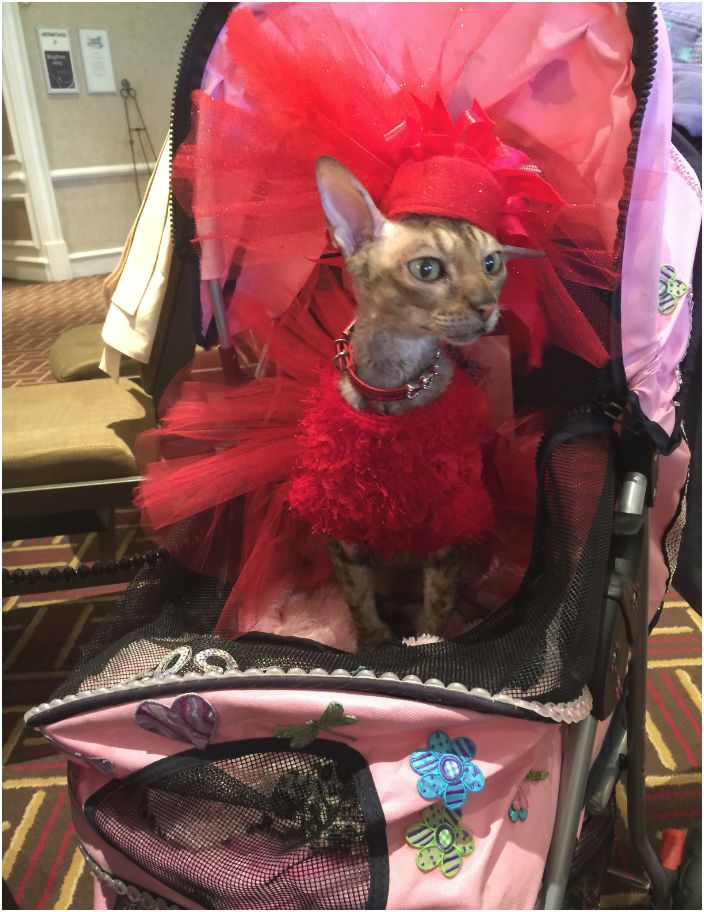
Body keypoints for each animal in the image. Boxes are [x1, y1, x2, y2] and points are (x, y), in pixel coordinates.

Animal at [310, 157, 540, 652]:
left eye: (491, 263)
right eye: (428, 269)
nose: (486, 306)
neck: (394, 388)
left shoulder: (448, 536)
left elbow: (436, 612)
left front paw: (427, 650)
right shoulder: (344, 538)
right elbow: (361, 610)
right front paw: (374, 648)